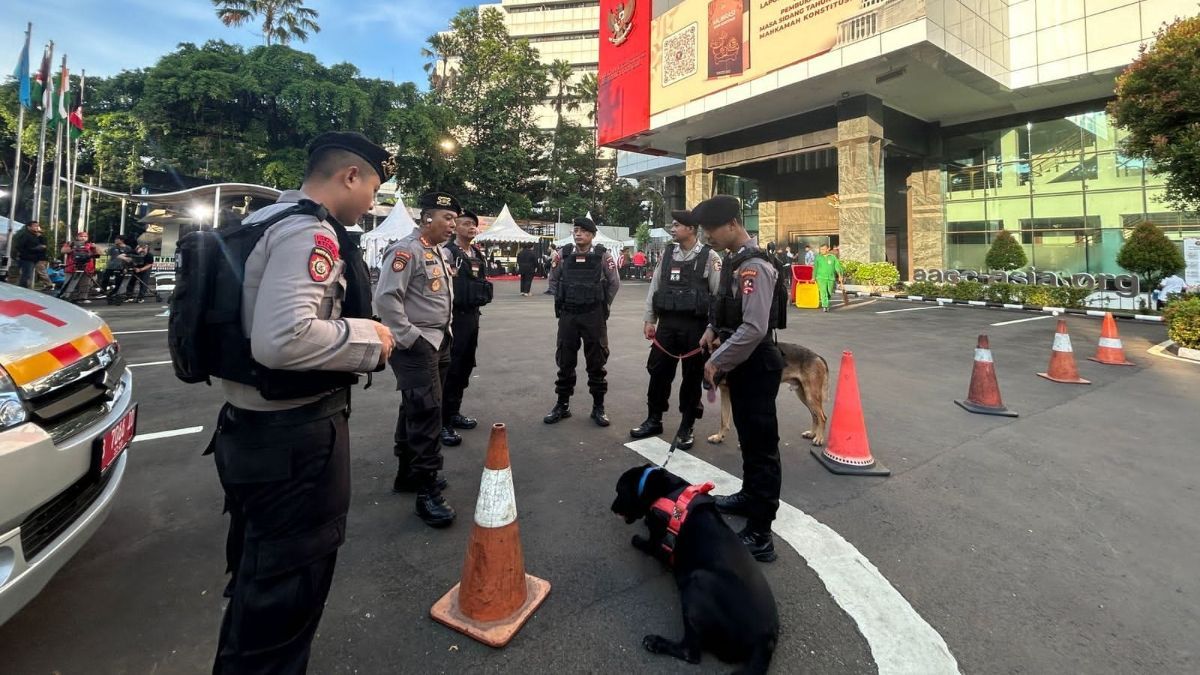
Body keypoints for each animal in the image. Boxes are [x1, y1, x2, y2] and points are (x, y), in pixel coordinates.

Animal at [609, 461, 777, 672]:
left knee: (691, 653)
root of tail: (765, 640)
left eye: (619, 491)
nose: (612, 507)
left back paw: (657, 642)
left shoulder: (656, 539)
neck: (663, 488)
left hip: (697, 583)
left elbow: (648, 543)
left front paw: (639, 539)